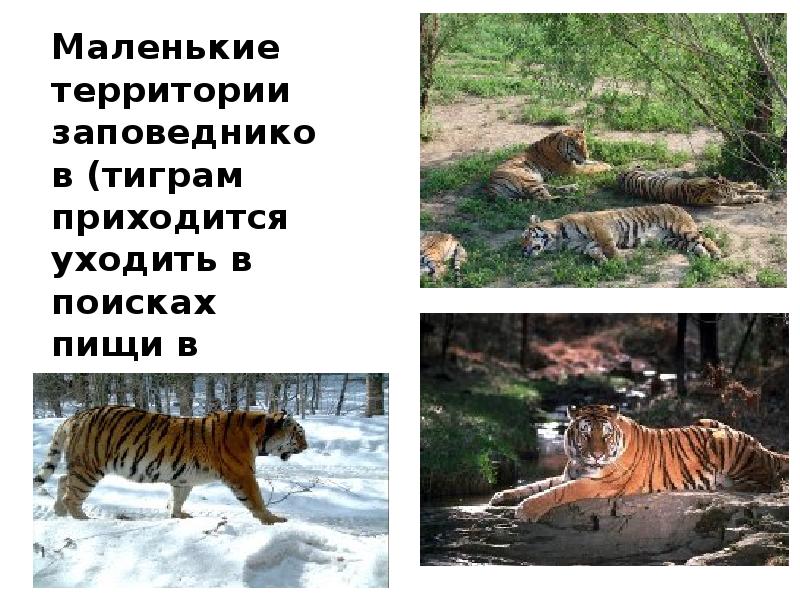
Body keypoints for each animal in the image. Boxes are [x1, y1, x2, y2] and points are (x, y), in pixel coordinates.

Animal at [33, 407, 308, 524]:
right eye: (299, 434)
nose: (306, 447)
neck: (259, 434)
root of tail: (74, 416)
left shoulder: (184, 477)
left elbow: (178, 497)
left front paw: (178, 515)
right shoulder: (242, 474)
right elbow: (257, 499)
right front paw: (272, 519)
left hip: (81, 465)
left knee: (62, 480)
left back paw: (58, 511)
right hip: (89, 467)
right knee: (72, 495)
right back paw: (81, 518)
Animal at [490, 404, 789, 523]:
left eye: (605, 435)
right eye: (585, 433)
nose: (596, 455)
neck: (581, 462)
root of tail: (760, 443)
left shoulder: (595, 484)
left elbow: (554, 493)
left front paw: (524, 510)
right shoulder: (569, 473)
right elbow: (538, 483)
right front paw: (502, 495)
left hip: (724, 441)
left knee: (770, 482)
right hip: (711, 422)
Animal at [522, 204, 721, 263]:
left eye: (526, 236)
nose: (523, 251)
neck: (559, 239)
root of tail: (680, 208)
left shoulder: (600, 229)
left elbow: (610, 248)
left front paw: (618, 262)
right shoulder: (588, 244)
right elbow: (592, 251)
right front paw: (601, 261)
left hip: (681, 230)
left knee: (706, 238)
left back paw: (716, 253)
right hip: (671, 239)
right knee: (694, 244)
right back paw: (703, 255)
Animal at [618, 168, 771, 206]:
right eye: (725, 194)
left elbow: (737, 186)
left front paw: (755, 189)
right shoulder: (727, 198)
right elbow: (742, 196)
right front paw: (758, 196)